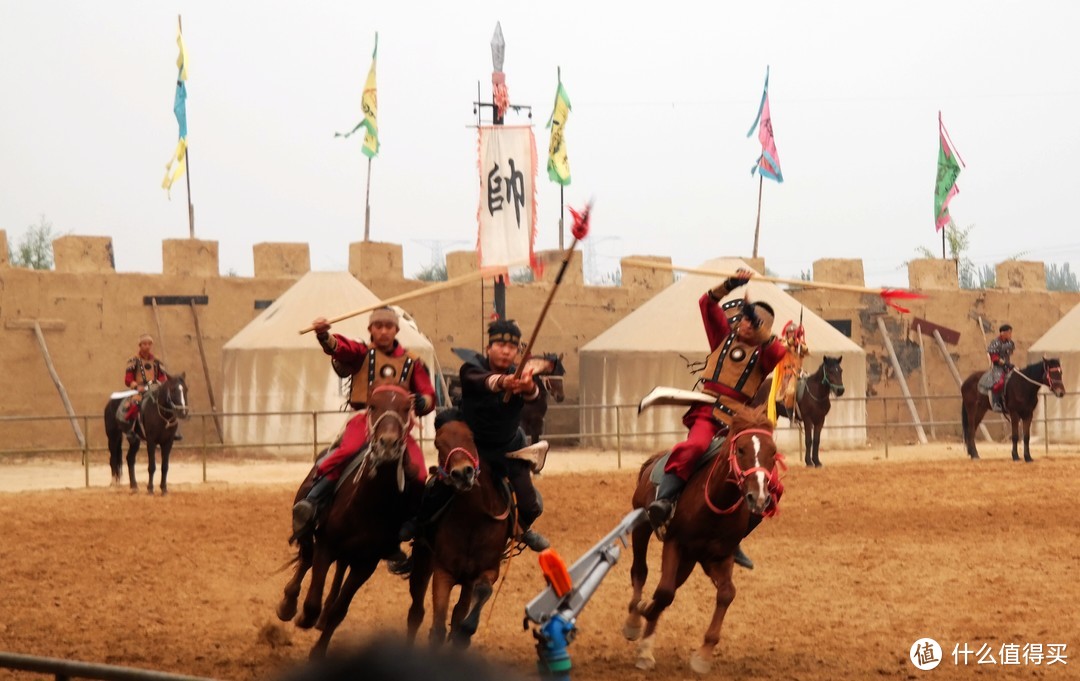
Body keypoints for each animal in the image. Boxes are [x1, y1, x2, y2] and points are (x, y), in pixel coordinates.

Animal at [274, 384, 429, 656]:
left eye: (406, 408)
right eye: (373, 405)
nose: (388, 444)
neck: (367, 506)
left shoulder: (365, 564)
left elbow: (339, 610)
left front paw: (318, 650)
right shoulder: (326, 546)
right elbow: (312, 601)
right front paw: (304, 617)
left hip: (350, 555)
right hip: (310, 529)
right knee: (306, 557)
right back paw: (288, 605)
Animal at [408, 416, 518, 651]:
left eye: (471, 436)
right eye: (438, 443)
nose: (462, 473)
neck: (472, 522)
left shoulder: (487, 570)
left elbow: (479, 596)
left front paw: (465, 632)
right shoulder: (443, 572)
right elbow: (438, 629)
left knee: (459, 610)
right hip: (422, 561)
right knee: (416, 611)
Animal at [626, 405, 786, 677]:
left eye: (773, 452)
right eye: (741, 449)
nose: (759, 498)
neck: (716, 501)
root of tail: (654, 460)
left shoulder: (720, 555)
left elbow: (726, 594)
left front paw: (703, 655)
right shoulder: (675, 543)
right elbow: (664, 592)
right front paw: (645, 645)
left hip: (689, 561)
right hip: (642, 526)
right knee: (640, 572)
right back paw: (634, 621)